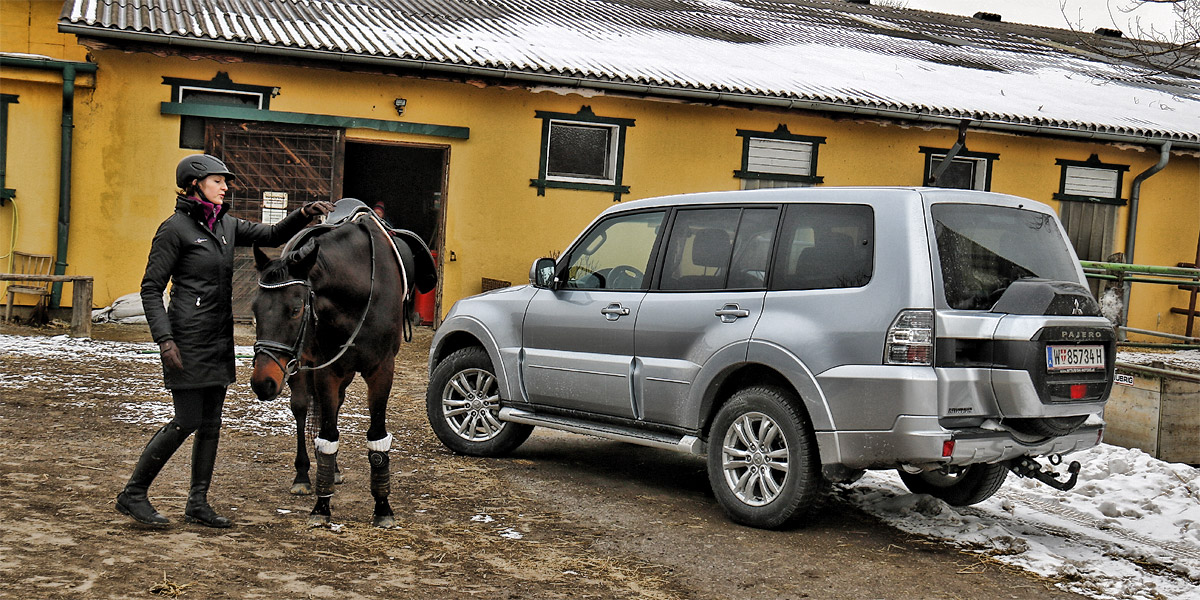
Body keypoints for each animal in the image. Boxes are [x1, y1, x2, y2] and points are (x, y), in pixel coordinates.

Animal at [247, 200, 432, 525]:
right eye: (256, 309)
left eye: (295, 309)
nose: (262, 382)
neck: (359, 289)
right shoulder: (326, 370)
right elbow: (328, 434)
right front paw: (322, 506)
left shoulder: (382, 370)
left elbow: (376, 437)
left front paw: (382, 506)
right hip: (303, 368)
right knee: (303, 410)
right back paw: (304, 475)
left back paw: (331, 472)